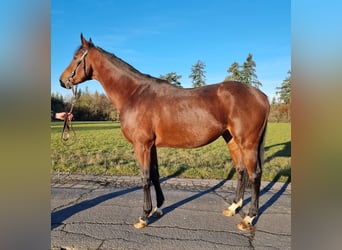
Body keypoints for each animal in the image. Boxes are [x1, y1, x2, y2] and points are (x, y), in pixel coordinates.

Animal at [60, 34, 272, 231]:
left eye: (76, 57)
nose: (62, 81)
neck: (134, 94)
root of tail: (262, 96)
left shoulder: (142, 145)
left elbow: (145, 178)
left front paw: (143, 216)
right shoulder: (151, 146)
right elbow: (155, 174)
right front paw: (157, 208)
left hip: (247, 143)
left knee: (254, 175)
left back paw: (249, 217)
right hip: (232, 140)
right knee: (241, 170)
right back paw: (234, 207)